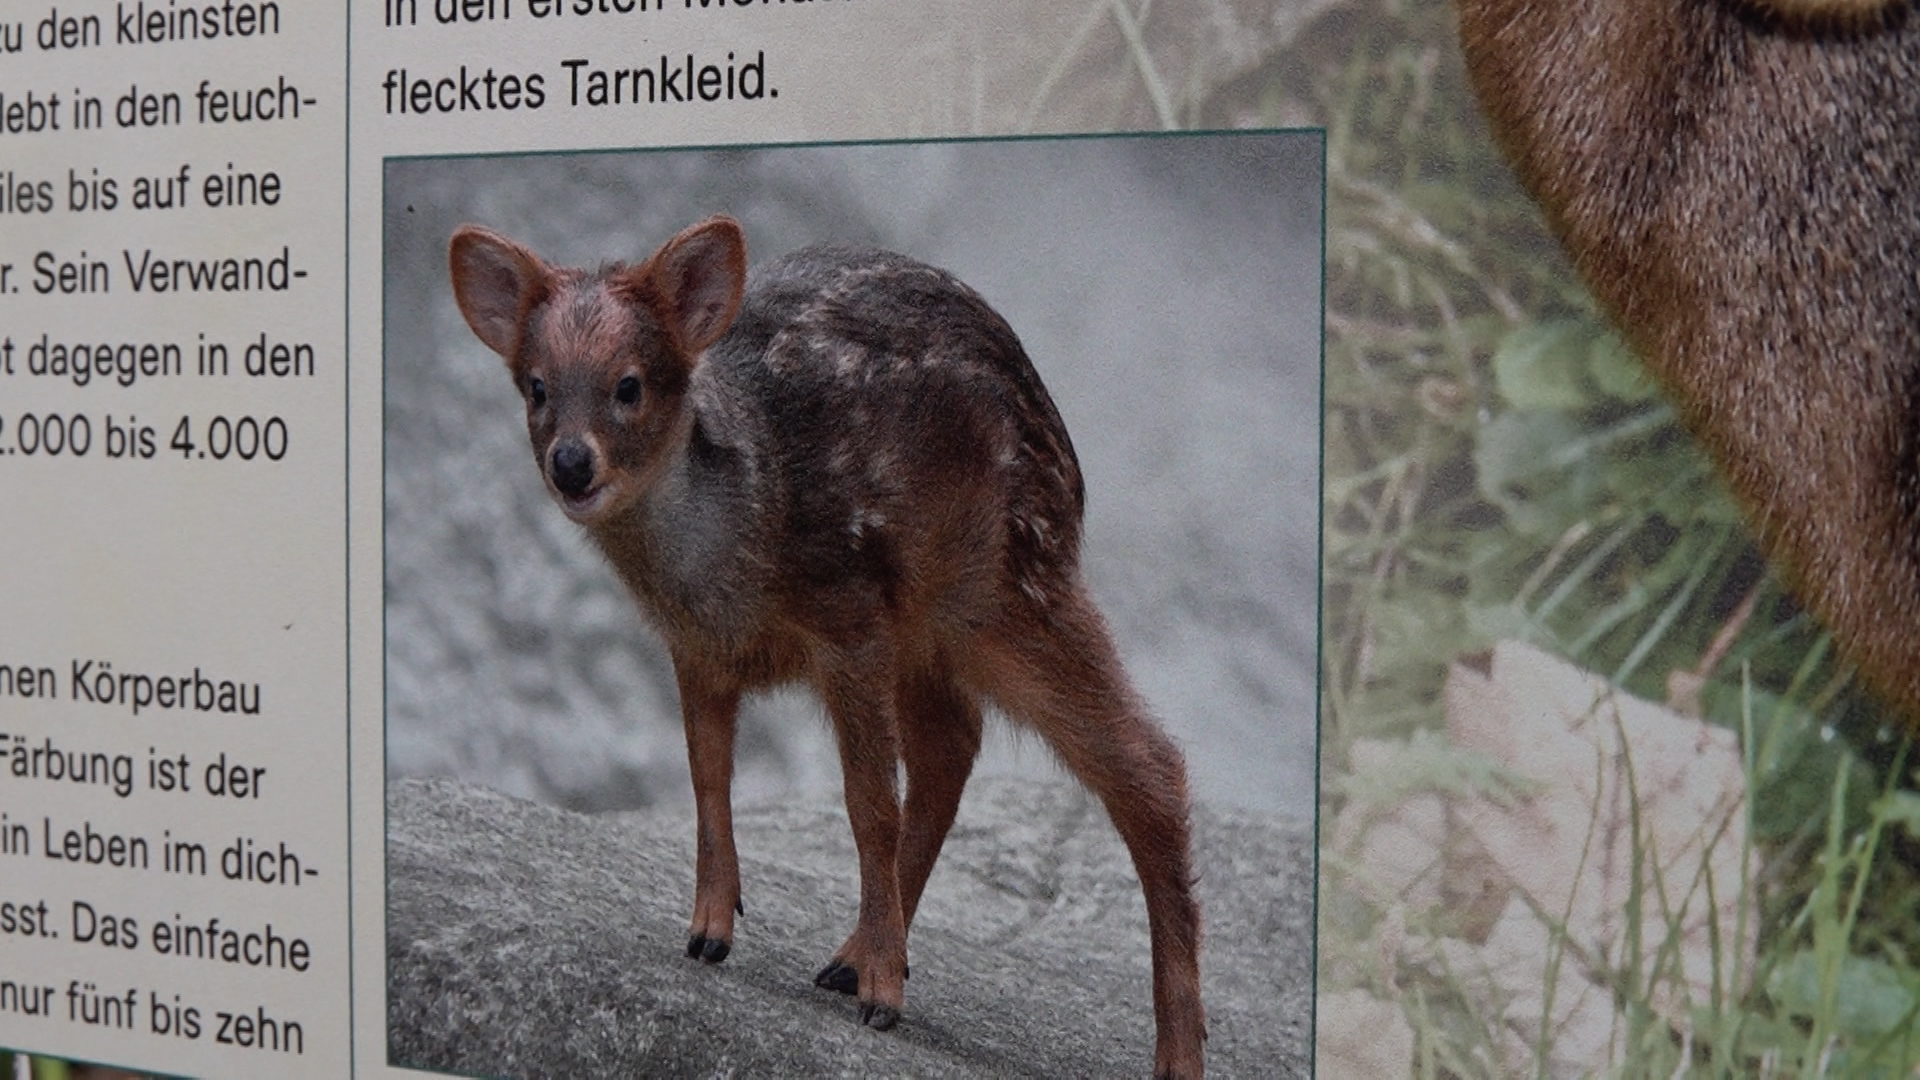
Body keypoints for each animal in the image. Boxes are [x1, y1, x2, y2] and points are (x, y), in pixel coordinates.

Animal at [447, 216, 1206, 1078]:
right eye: (537, 387)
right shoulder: (698, 647)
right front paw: (710, 930)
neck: (734, 548)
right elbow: (708, 777)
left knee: (1147, 764)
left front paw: (884, 998)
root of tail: (1069, 459)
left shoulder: (850, 619)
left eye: (630, 385)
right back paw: (852, 957)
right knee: (956, 746)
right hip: (934, 628)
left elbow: (867, 804)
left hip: (1008, 581)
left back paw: (1174, 1051)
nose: (571, 463)